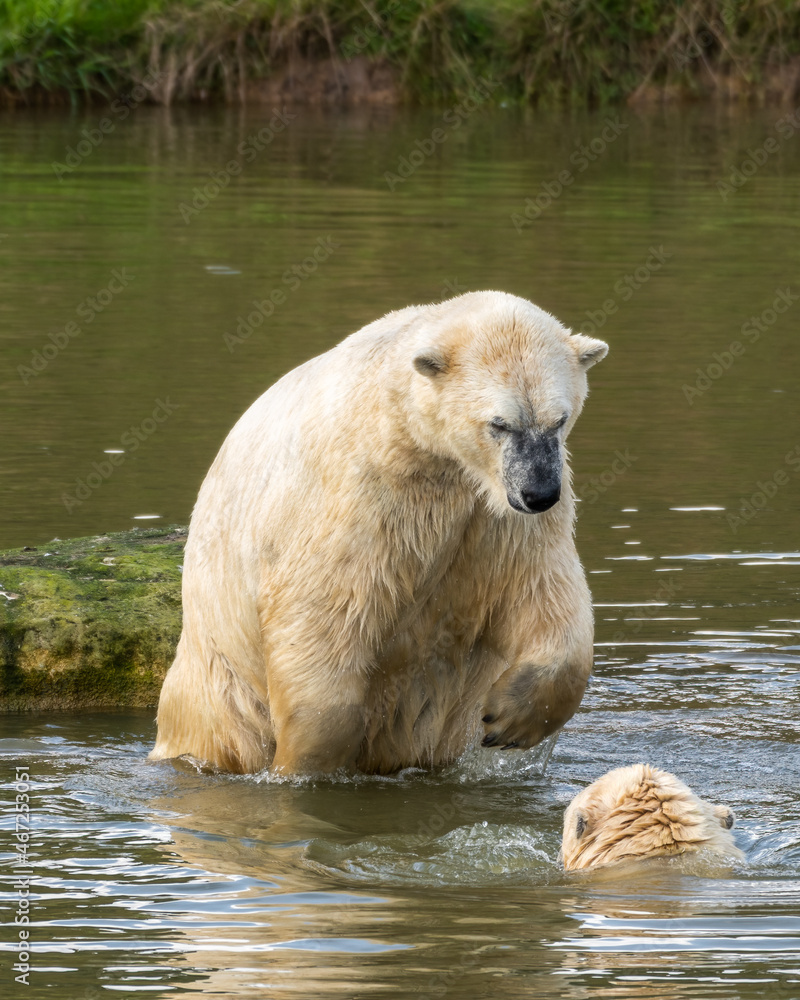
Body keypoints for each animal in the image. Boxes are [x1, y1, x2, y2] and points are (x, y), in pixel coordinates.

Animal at [150, 290, 608, 772]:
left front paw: (508, 720)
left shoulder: (498, 521)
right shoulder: (364, 495)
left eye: (559, 420)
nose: (539, 493)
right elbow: (323, 605)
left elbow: (541, 592)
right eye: (499, 423)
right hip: (218, 677)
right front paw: (306, 759)